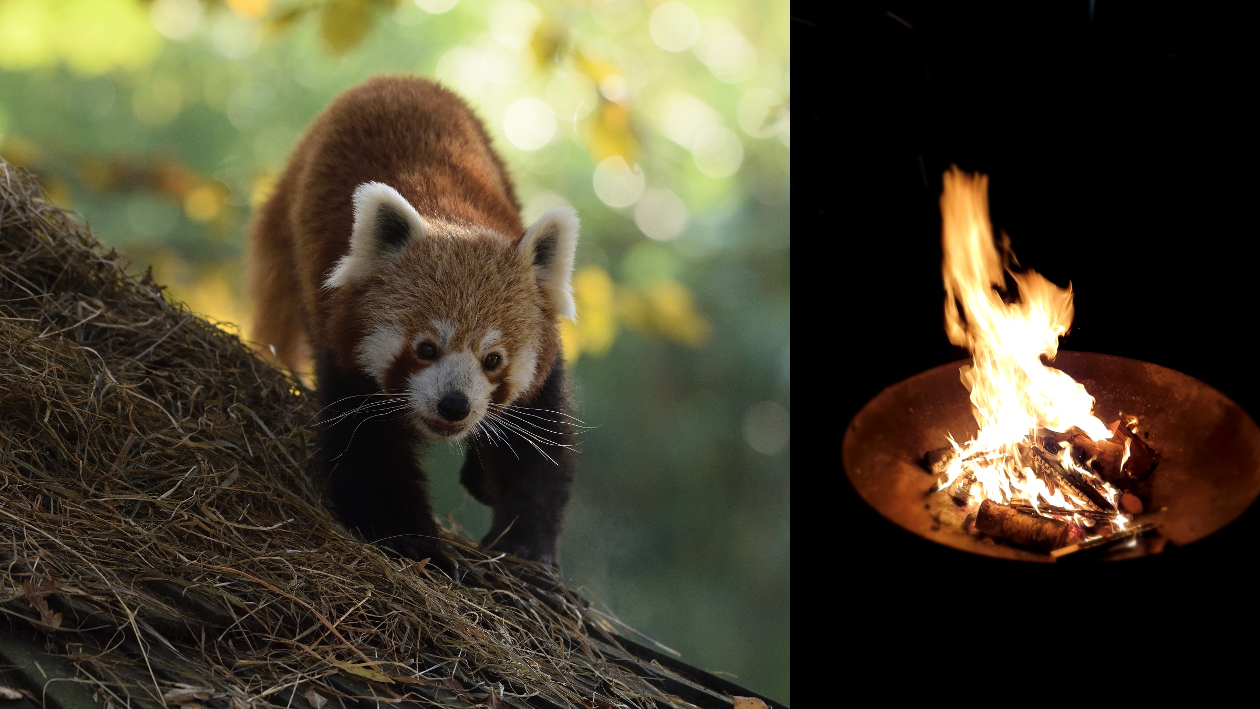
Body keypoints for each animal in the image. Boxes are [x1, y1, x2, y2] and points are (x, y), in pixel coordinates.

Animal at [249, 76, 579, 571]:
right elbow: (370, 458)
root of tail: (393, 79)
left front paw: (528, 550)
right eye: (426, 348)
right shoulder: (343, 347)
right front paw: (414, 542)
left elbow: (537, 452)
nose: (455, 405)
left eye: (493, 359)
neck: (453, 216)